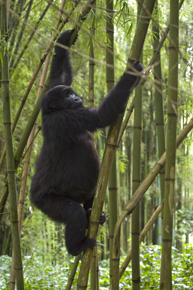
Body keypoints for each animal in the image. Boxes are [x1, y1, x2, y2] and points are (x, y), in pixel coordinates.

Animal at [30, 29, 143, 256]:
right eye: (67, 96)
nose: (76, 97)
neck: (52, 111)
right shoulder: (68, 118)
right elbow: (102, 115)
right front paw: (131, 74)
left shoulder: (56, 94)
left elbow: (59, 77)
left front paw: (63, 42)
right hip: (45, 201)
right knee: (73, 213)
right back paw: (77, 247)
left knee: (92, 194)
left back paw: (93, 213)